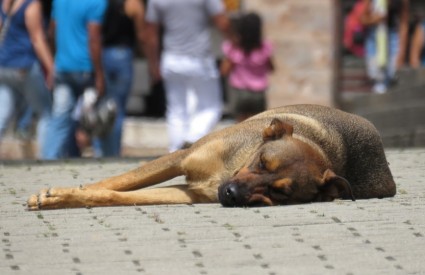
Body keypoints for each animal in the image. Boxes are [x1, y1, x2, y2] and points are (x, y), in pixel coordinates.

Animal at [27, 104, 394, 210]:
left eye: (280, 192)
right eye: (262, 162)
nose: (230, 194)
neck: (229, 169)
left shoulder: (189, 193)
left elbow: (113, 195)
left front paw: (64, 197)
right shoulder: (180, 157)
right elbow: (117, 181)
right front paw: (60, 194)